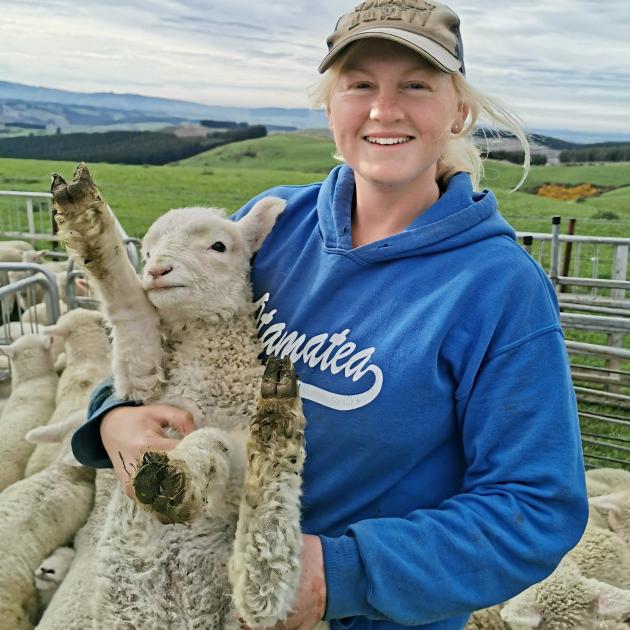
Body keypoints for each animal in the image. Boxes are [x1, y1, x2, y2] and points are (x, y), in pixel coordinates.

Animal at [50, 164, 314, 630]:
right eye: (147, 249)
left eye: (219, 246)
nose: (158, 270)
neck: (208, 367)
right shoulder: (142, 385)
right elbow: (132, 311)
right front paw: (85, 218)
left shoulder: (228, 479)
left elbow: (214, 443)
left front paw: (180, 475)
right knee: (260, 590)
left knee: (265, 584)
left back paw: (278, 419)